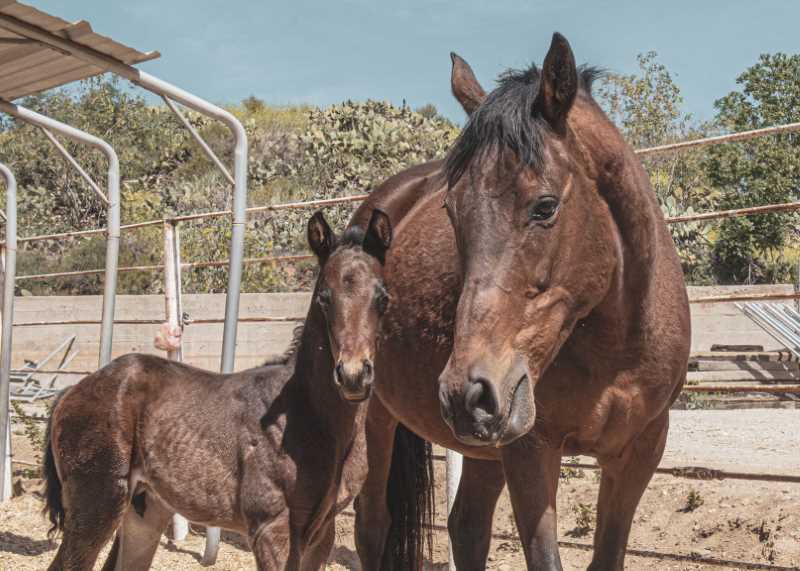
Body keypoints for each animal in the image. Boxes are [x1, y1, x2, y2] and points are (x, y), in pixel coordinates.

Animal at [41, 211, 394, 571]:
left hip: (144, 510)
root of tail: (71, 392)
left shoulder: (322, 534)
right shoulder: (272, 529)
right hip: (99, 500)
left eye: (383, 298)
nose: (353, 375)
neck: (309, 417)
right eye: (323, 297)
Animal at [354, 34, 692, 571]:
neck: (615, 347)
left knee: (466, 525)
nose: (465, 391)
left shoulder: (640, 450)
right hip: (375, 416)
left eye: (545, 206)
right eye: (452, 211)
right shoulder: (531, 450)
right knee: (373, 524)